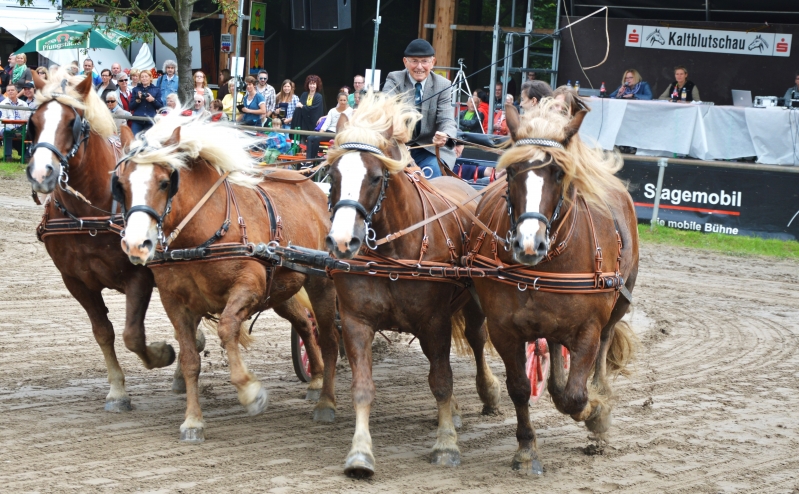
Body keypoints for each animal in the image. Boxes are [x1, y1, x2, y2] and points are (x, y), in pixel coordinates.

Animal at [25, 67, 182, 412]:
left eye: (72, 122)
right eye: (35, 121)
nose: (41, 174)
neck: (90, 215)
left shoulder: (139, 275)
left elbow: (132, 335)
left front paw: (162, 354)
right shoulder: (76, 281)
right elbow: (103, 333)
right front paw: (118, 391)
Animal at [114, 114, 340, 442]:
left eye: (165, 182)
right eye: (120, 184)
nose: (135, 245)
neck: (200, 237)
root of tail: (314, 187)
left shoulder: (249, 287)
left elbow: (226, 328)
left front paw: (250, 391)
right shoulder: (174, 302)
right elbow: (190, 359)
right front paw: (193, 421)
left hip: (320, 282)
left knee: (329, 338)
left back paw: (326, 402)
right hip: (282, 290)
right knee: (304, 325)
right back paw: (316, 379)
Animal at [324, 90, 500, 476]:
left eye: (376, 177)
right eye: (333, 173)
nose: (342, 241)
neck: (394, 249)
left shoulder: (435, 321)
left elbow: (441, 380)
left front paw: (446, 444)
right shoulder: (356, 321)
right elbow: (363, 387)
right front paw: (360, 452)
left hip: (473, 304)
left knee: (477, 341)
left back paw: (489, 393)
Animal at [466, 101, 640, 474]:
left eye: (559, 173)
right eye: (511, 171)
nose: (529, 243)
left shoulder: (588, 327)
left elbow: (577, 396)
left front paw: (597, 413)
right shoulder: (504, 329)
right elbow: (520, 388)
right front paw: (526, 449)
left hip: (617, 304)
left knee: (603, 347)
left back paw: (599, 403)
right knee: (555, 350)